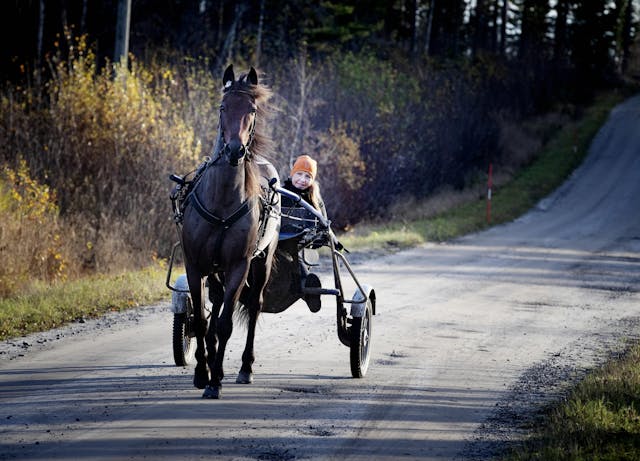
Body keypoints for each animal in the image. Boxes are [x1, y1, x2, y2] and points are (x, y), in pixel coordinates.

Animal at [180, 64, 280, 399]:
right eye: (223, 107)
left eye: (252, 109)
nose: (235, 149)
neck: (223, 201)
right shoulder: (194, 264)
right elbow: (200, 321)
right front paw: (202, 372)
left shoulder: (239, 264)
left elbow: (225, 323)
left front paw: (215, 380)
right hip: (214, 270)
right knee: (215, 302)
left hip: (262, 261)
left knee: (254, 305)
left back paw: (244, 367)